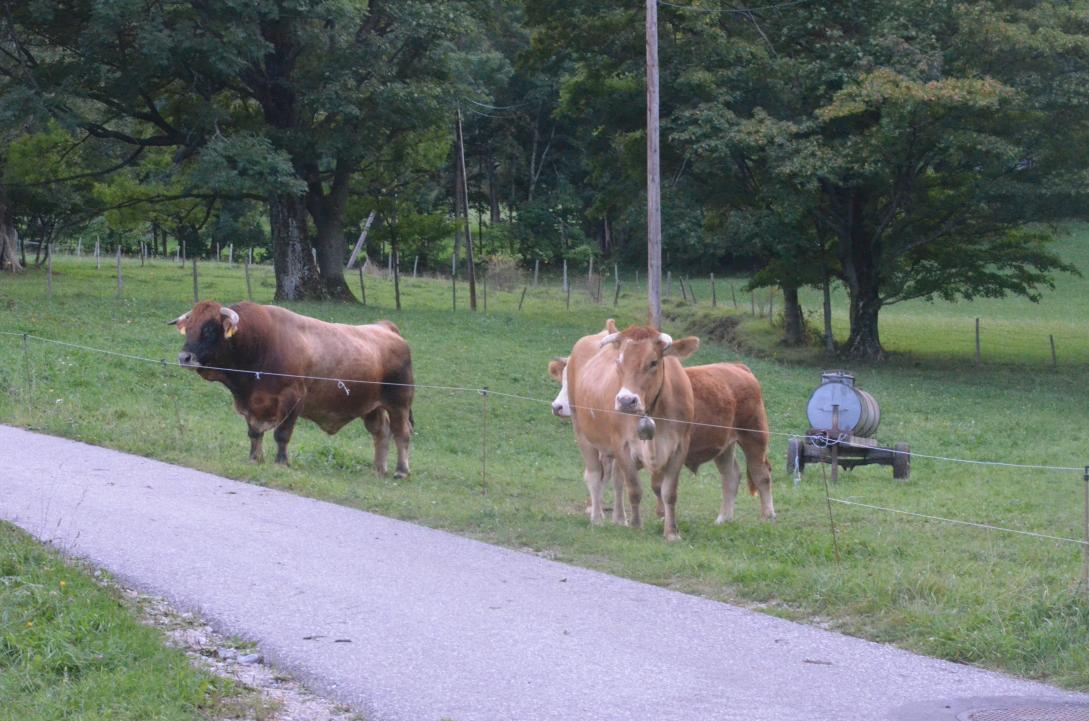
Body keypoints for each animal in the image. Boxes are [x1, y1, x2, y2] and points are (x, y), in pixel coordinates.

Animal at [169, 300, 411, 477]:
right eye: (189, 328)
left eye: (209, 330)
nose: (184, 357)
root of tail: (385, 327)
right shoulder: (250, 403)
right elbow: (254, 433)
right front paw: (255, 458)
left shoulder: (293, 398)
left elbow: (282, 434)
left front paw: (281, 462)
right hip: (372, 407)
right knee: (381, 432)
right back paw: (378, 469)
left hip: (399, 402)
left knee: (401, 434)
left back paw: (401, 471)